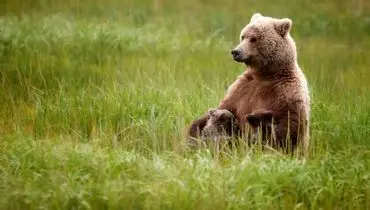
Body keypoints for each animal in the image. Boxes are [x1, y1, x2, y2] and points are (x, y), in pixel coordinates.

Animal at [188, 12, 310, 154]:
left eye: (254, 39)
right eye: (243, 36)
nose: (236, 52)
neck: (265, 75)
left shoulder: (288, 90)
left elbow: (290, 124)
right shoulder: (242, 88)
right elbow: (223, 108)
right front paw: (195, 130)